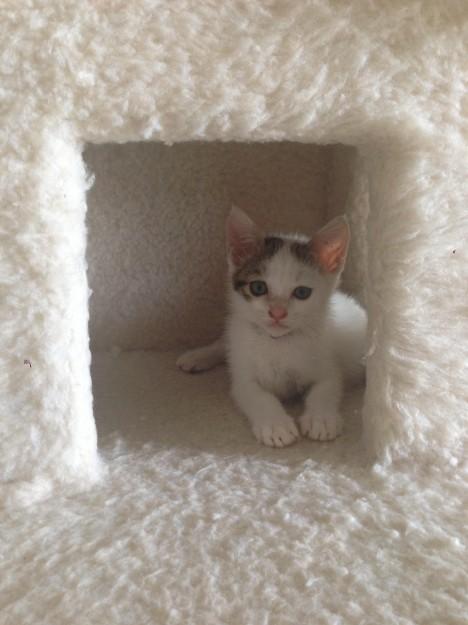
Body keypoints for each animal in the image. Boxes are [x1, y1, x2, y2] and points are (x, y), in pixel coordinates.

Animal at [177, 206, 367, 448]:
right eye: (258, 287)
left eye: (302, 292)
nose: (277, 313)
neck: (278, 342)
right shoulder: (243, 378)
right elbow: (259, 397)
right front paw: (275, 425)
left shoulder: (328, 366)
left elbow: (325, 389)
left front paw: (321, 418)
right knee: (224, 344)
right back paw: (196, 356)